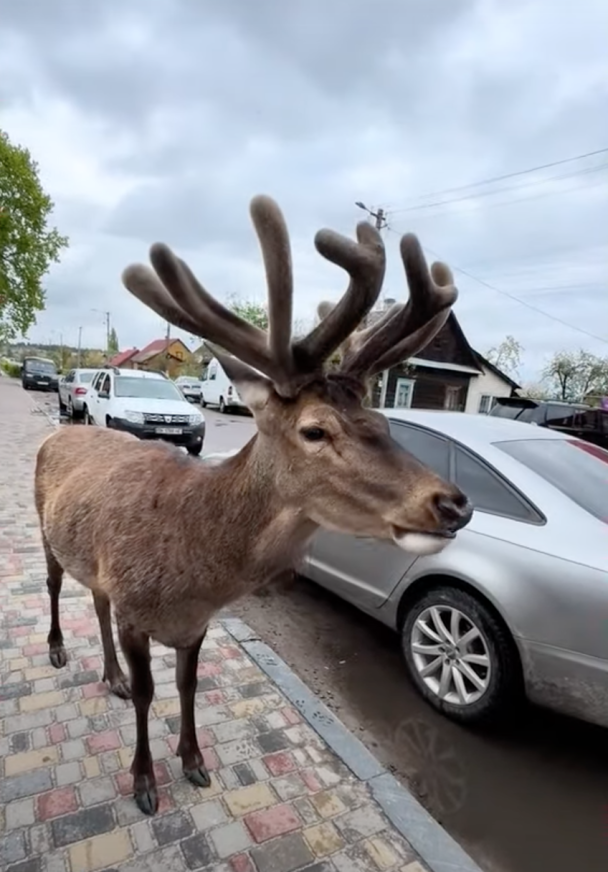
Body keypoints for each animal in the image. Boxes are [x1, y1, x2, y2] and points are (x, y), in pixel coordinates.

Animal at [34, 195, 473, 816]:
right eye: (314, 430)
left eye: (383, 423)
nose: (453, 504)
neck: (192, 575)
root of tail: (62, 429)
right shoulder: (134, 610)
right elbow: (149, 694)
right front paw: (144, 781)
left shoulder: (194, 623)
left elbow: (189, 685)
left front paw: (193, 760)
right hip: (42, 524)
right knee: (52, 585)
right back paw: (57, 651)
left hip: (95, 564)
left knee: (93, 601)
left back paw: (109, 676)